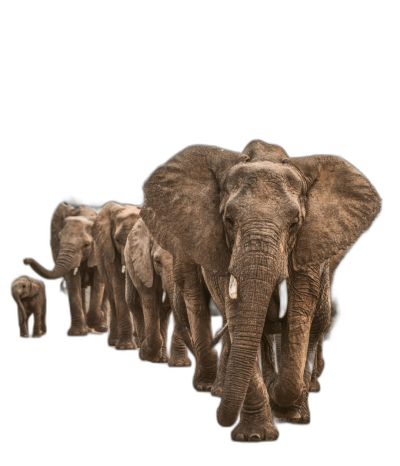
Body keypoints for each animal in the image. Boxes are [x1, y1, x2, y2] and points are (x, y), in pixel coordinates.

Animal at [22, 202, 108, 336]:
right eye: (58, 239)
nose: (26, 260)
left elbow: (98, 283)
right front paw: (77, 334)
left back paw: (102, 327)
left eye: (86, 245)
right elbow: (73, 283)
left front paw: (99, 321)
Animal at [91, 200, 141, 350]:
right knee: (112, 297)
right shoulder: (109, 249)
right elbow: (118, 286)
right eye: (118, 240)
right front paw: (126, 347)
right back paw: (114, 342)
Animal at [125, 218, 194, 368]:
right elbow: (149, 302)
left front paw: (180, 365)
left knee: (164, 312)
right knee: (133, 302)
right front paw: (145, 354)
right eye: (157, 261)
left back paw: (161, 359)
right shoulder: (143, 264)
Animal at [141, 139, 382, 444]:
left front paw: (289, 414)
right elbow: (240, 321)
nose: (219, 415)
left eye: (295, 223)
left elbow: (299, 320)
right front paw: (255, 436)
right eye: (228, 220)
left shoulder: (308, 251)